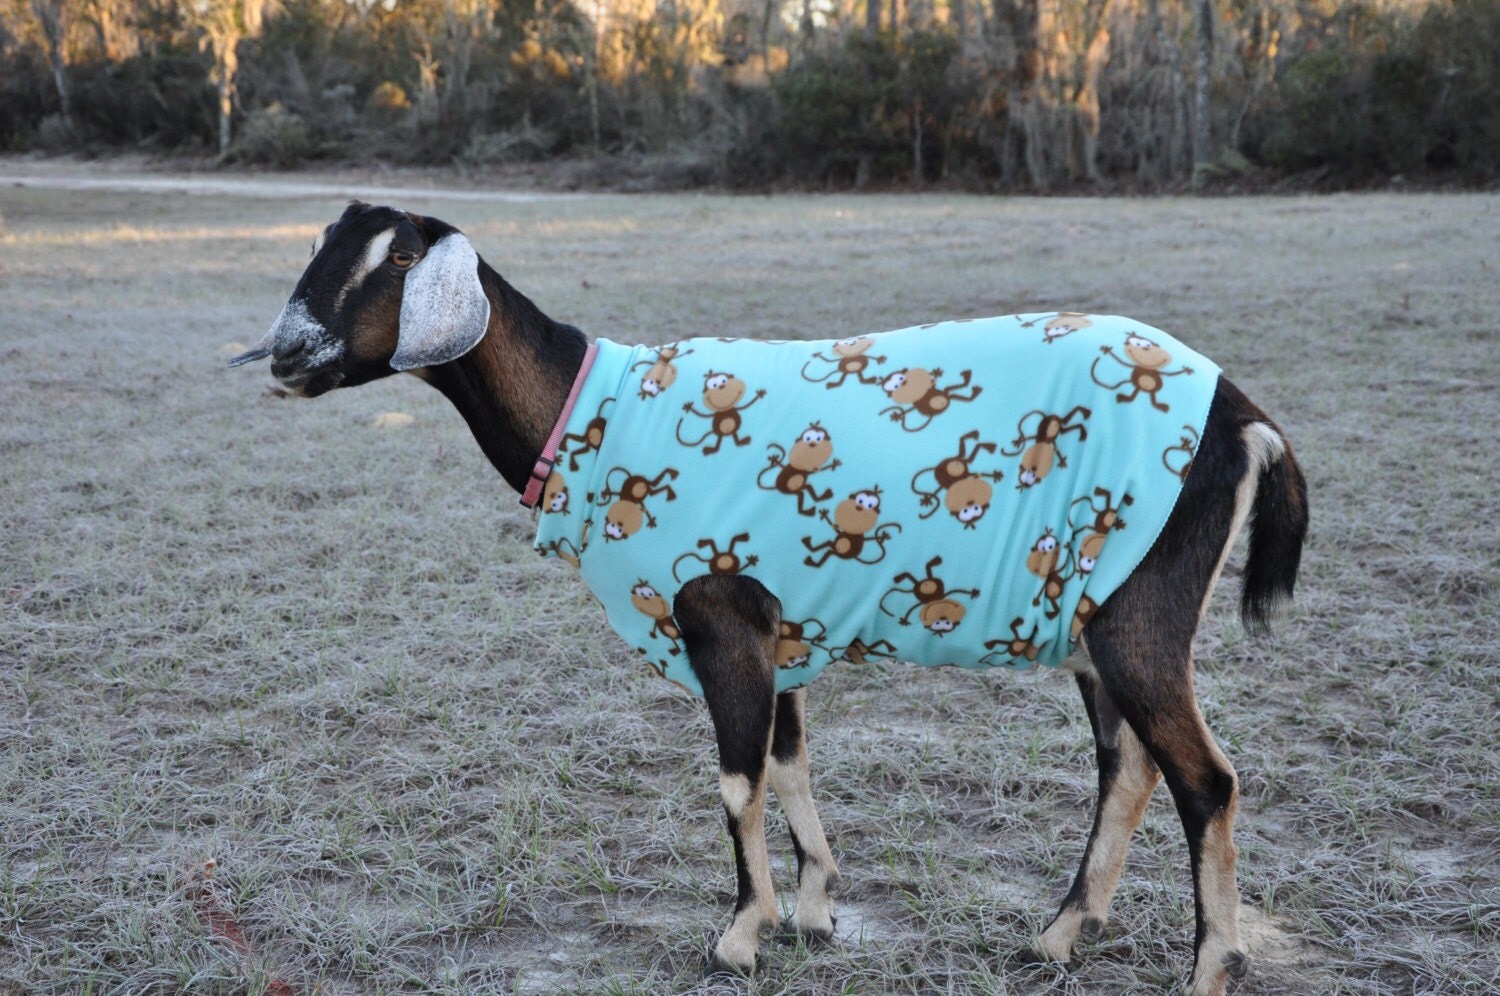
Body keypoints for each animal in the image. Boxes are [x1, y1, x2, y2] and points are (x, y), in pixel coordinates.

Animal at [231, 202, 1308, 996]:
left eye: (402, 256)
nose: (285, 354)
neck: (592, 417)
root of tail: (1245, 418)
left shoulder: (717, 616)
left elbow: (738, 780)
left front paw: (741, 934)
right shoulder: (783, 628)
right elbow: (790, 761)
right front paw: (817, 907)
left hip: (1139, 612)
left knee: (1206, 780)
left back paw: (1209, 967)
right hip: (1087, 620)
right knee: (1127, 764)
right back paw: (1057, 934)